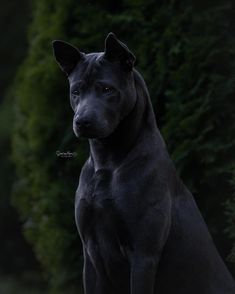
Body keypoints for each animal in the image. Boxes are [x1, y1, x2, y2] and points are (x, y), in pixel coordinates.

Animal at [52, 33, 234, 294]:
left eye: (107, 89)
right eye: (76, 91)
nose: (83, 121)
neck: (107, 161)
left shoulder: (143, 255)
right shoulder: (90, 255)